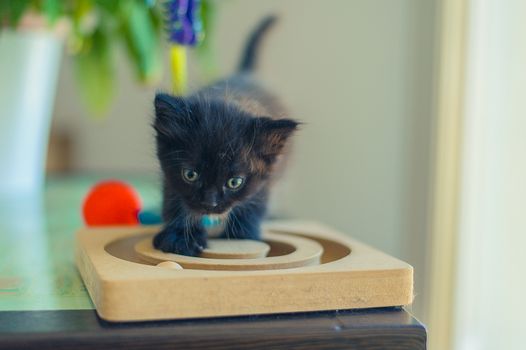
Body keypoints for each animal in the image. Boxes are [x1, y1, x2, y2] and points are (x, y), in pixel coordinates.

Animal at [155, 16, 300, 256]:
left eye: (235, 182)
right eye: (190, 175)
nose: (210, 204)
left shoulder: (267, 177)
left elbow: (254, 203)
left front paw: (243, 234)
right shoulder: (170, 176)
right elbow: (174, 200)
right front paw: (181, 236)